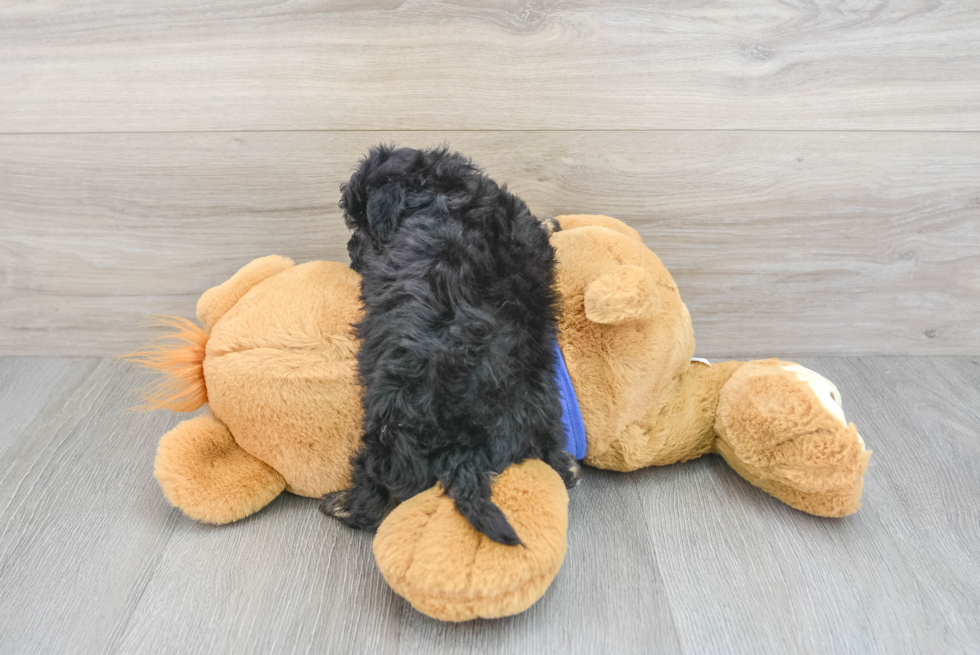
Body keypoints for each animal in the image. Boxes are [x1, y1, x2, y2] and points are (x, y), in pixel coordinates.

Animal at [322, 146, 580, 544]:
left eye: (359, 227)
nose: (350, 251)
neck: (441, 189)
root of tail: (467, 450)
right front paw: (555, 223)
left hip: (389, 430)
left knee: (378, 493)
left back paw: (341, 504)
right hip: (544, 412)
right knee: (551, 458)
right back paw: (567, 467)